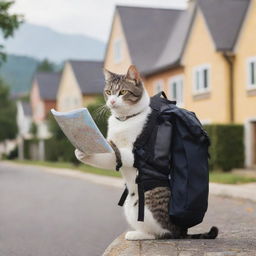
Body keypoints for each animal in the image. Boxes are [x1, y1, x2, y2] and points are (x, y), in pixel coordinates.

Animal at [75, 65, 219, 241]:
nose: (112, 101)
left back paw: (136, 234)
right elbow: (109, 158)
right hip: (129, 207)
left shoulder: (136, 153)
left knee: (161, 233)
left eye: (123, 92)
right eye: (108, 92)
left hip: (148, 204)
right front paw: (82, 152)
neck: (124, 120)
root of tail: (182, 230)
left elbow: (117, 152)